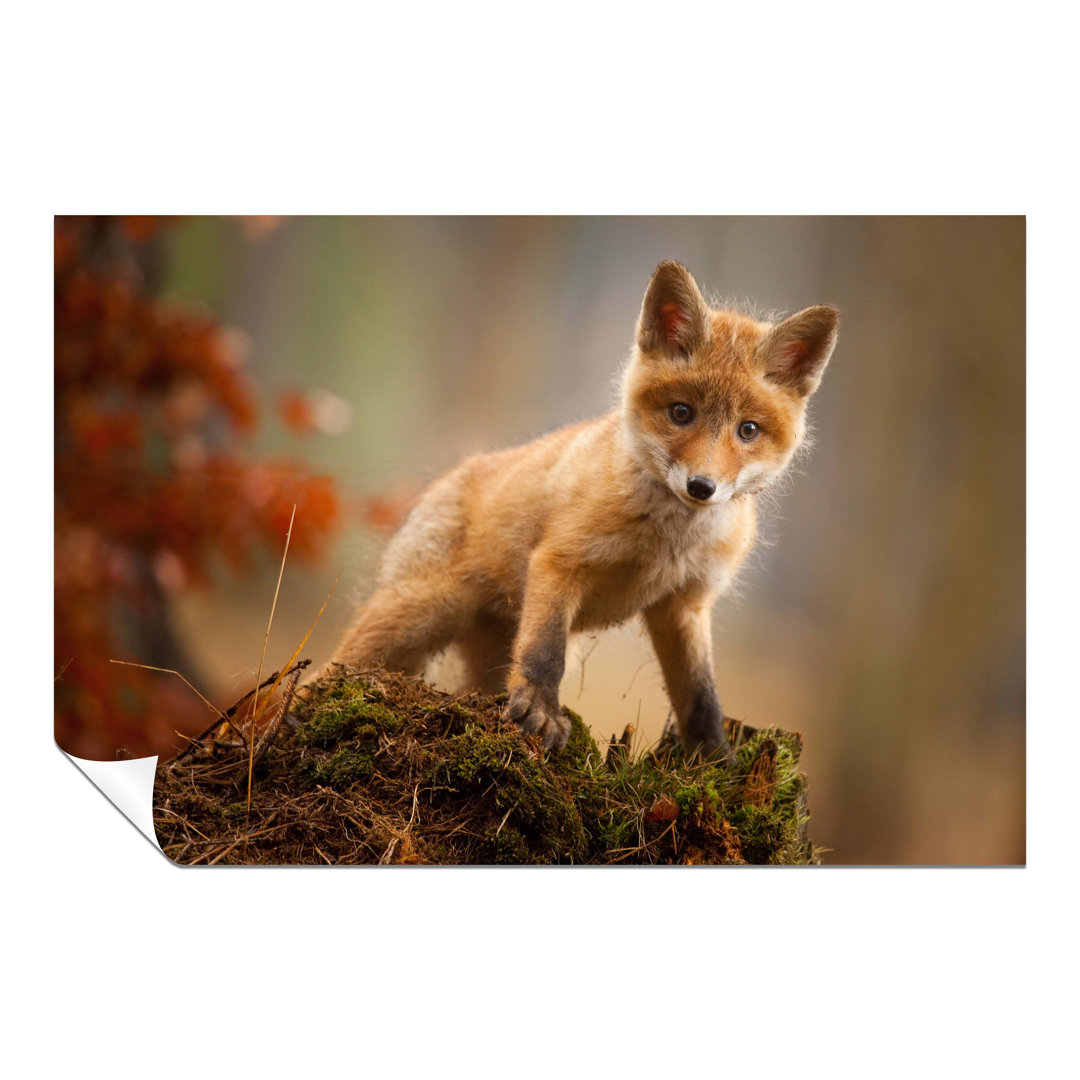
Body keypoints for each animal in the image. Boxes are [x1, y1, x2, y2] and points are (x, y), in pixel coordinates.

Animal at [327, 260, 838, 759]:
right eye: (681, 413)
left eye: (747, 430)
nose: (701, 486)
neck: (666, 543)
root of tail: (451, 475)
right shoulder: (560, 563)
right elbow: (546, 653)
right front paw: (541, 713)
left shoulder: (684, 605)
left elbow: (701, 697)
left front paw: (714, 763)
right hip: (415, 617)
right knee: (331, 670)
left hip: (485, 651)